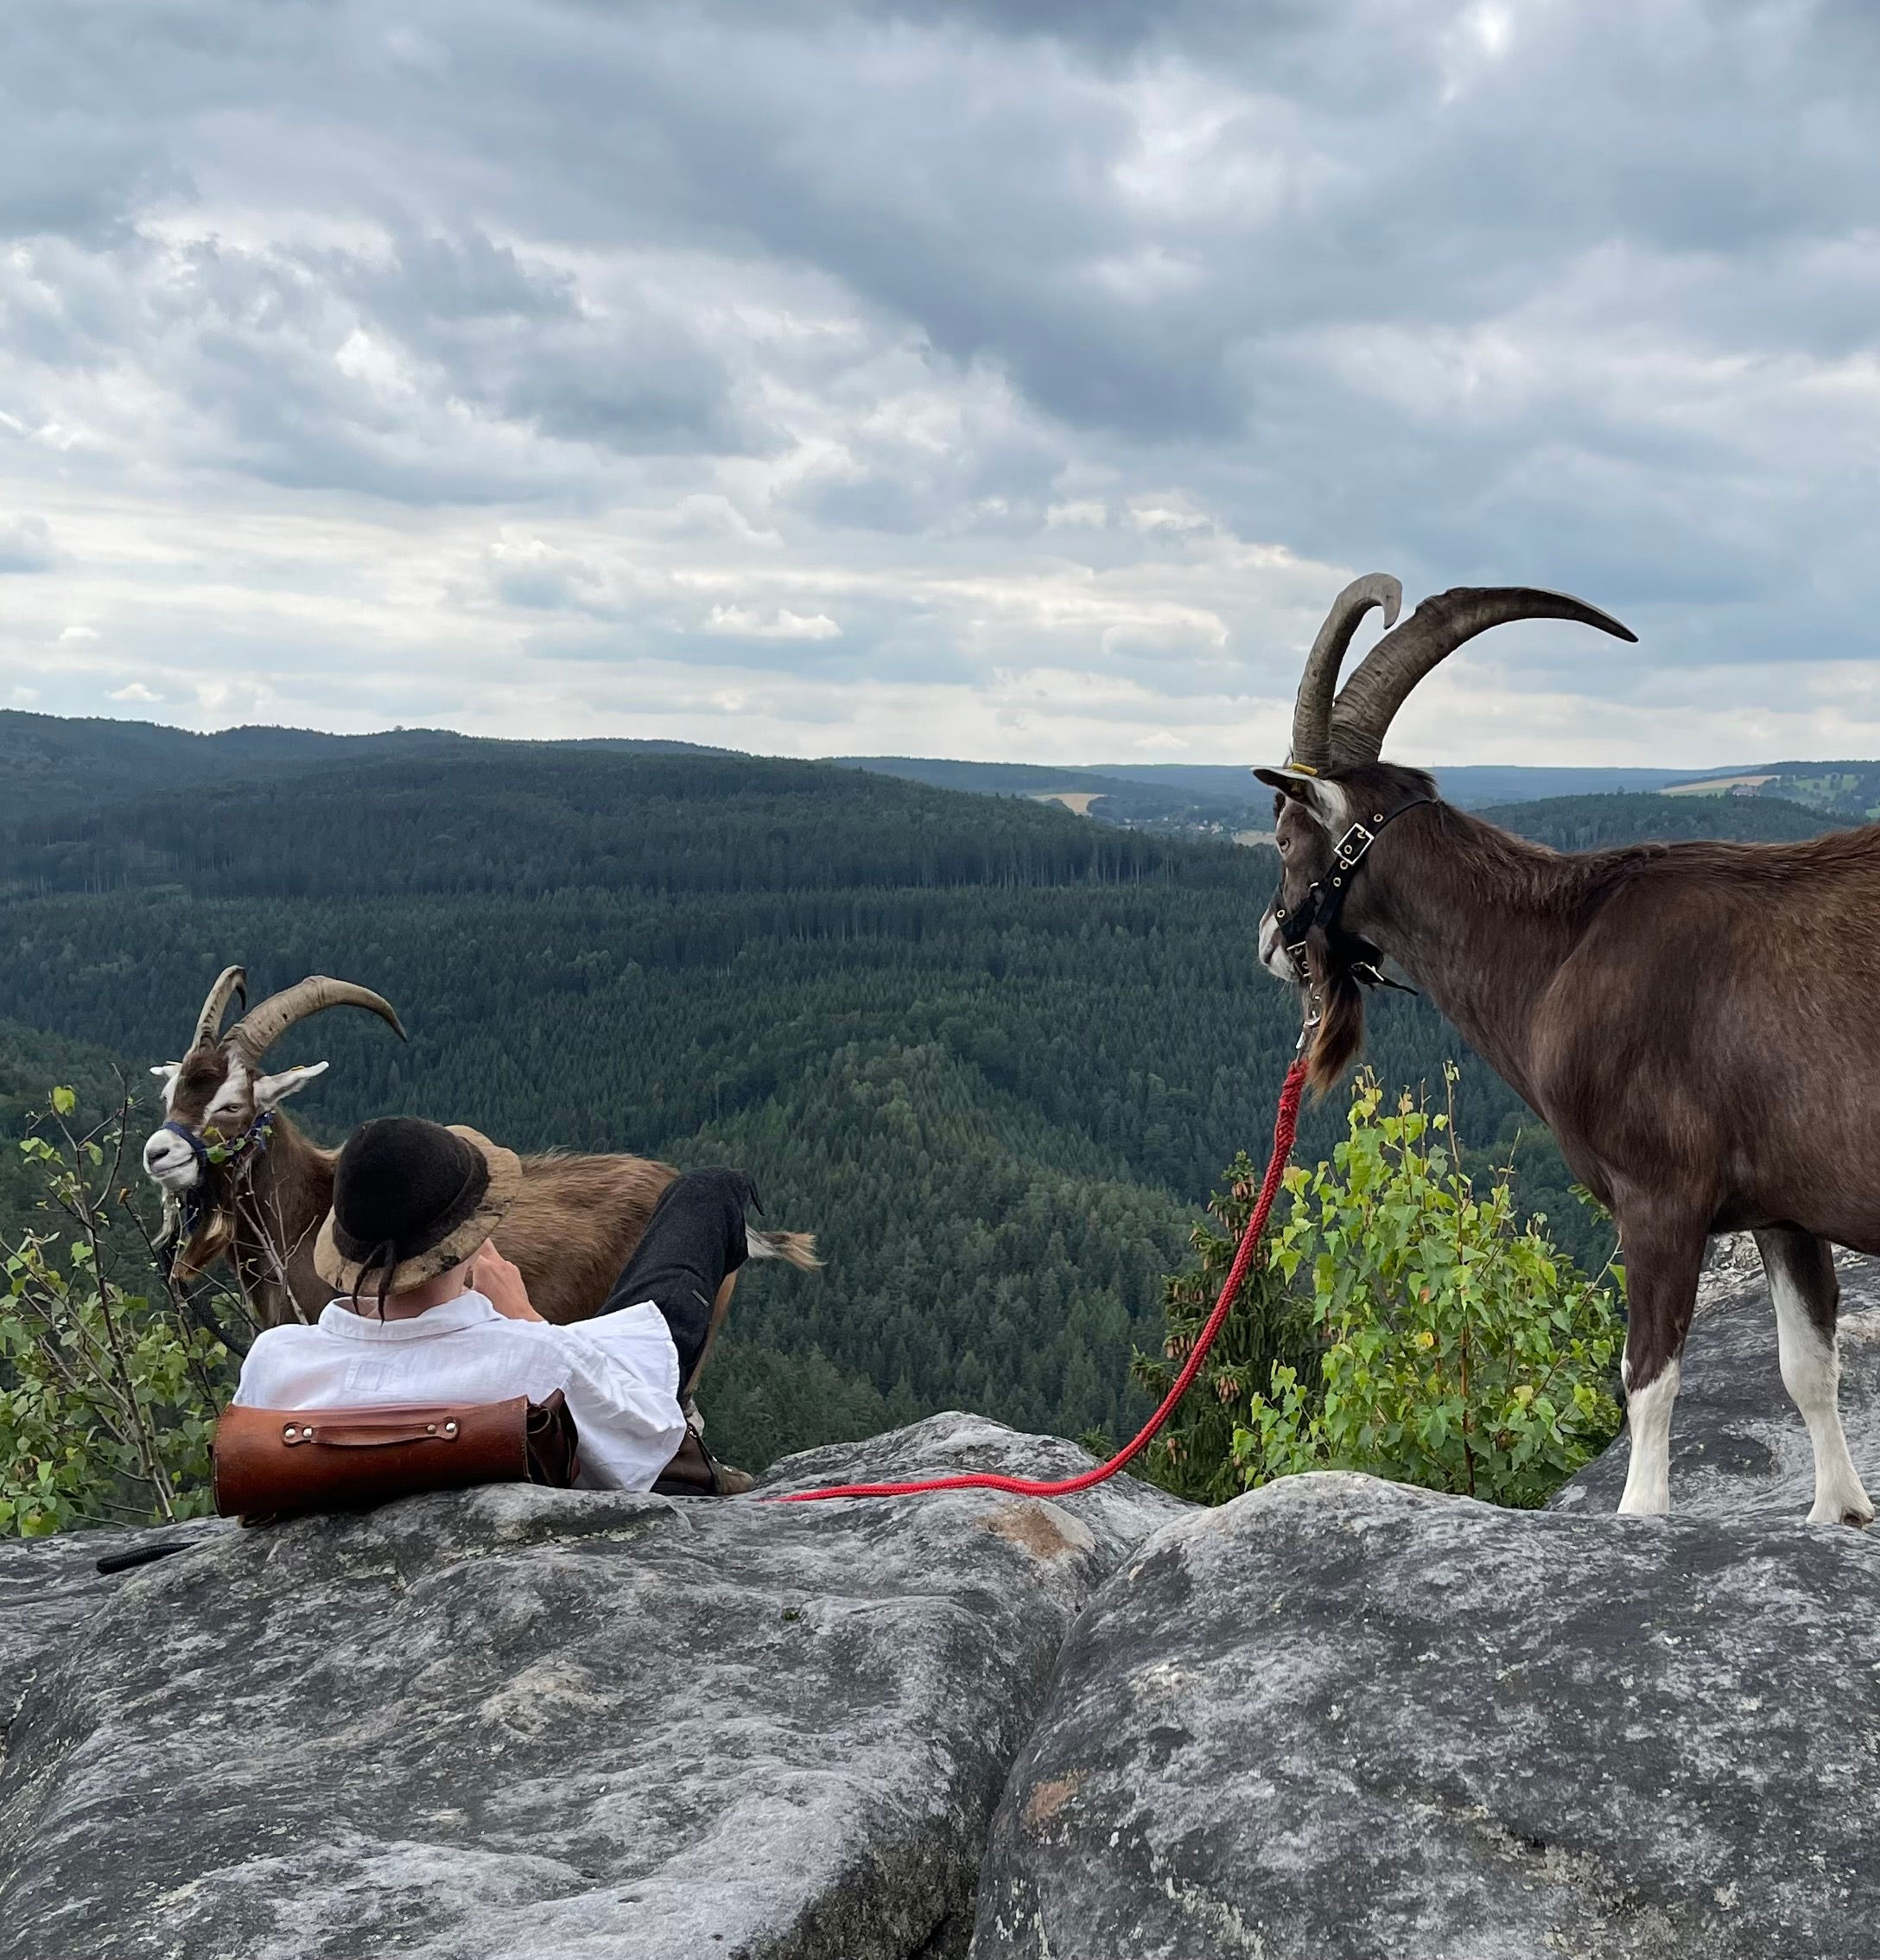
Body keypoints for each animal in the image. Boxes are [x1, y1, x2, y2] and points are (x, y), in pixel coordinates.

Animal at [1254, 580, 1880, 1529]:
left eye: (1288, 837)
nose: (1266, 941)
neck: (1561, 949)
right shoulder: (1785, 1211)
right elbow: (1807, 1366)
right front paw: (1839, 1513)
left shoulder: (1660, 1196)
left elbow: (1647, 1378)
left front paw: (1639, 1514)